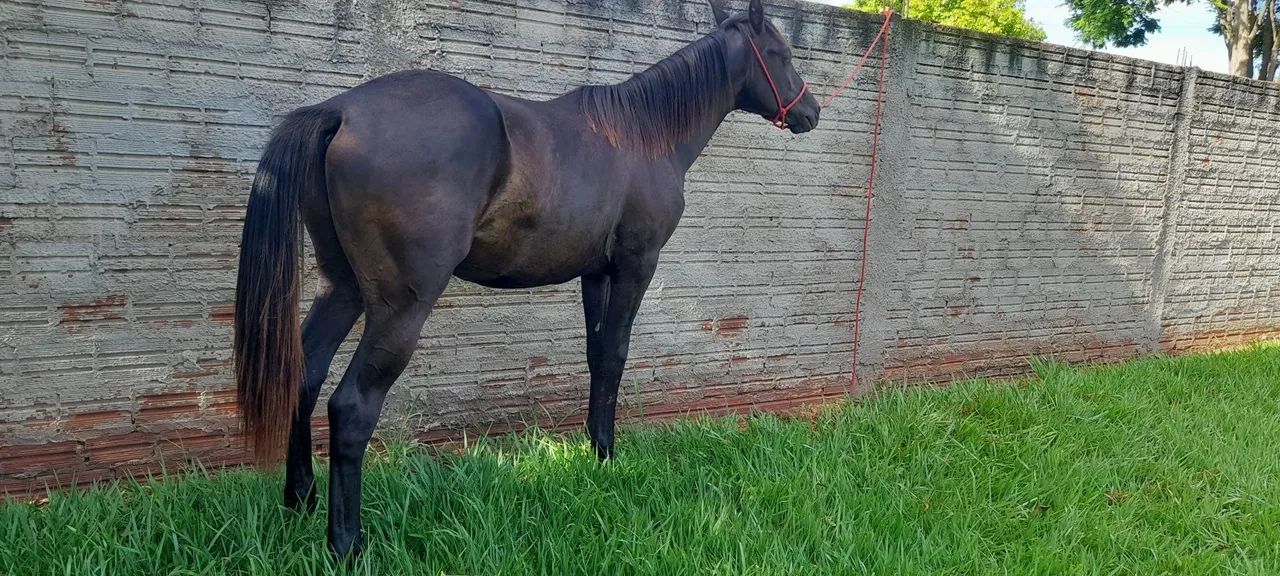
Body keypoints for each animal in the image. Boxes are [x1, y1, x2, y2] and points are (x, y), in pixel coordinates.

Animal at [233, 0, 820, 557]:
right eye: (783, 54)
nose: (810, 111)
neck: (640, 135)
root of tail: (340, 111)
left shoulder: (596, 273)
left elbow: (597, 356)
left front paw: (594, 450)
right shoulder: (636, 264)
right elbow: (616, 354)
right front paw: (610, 455)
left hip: (343, 287)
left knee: (305, 375)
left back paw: (301, 500)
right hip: (400, 306)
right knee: (352, 406)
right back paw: (347, 544)